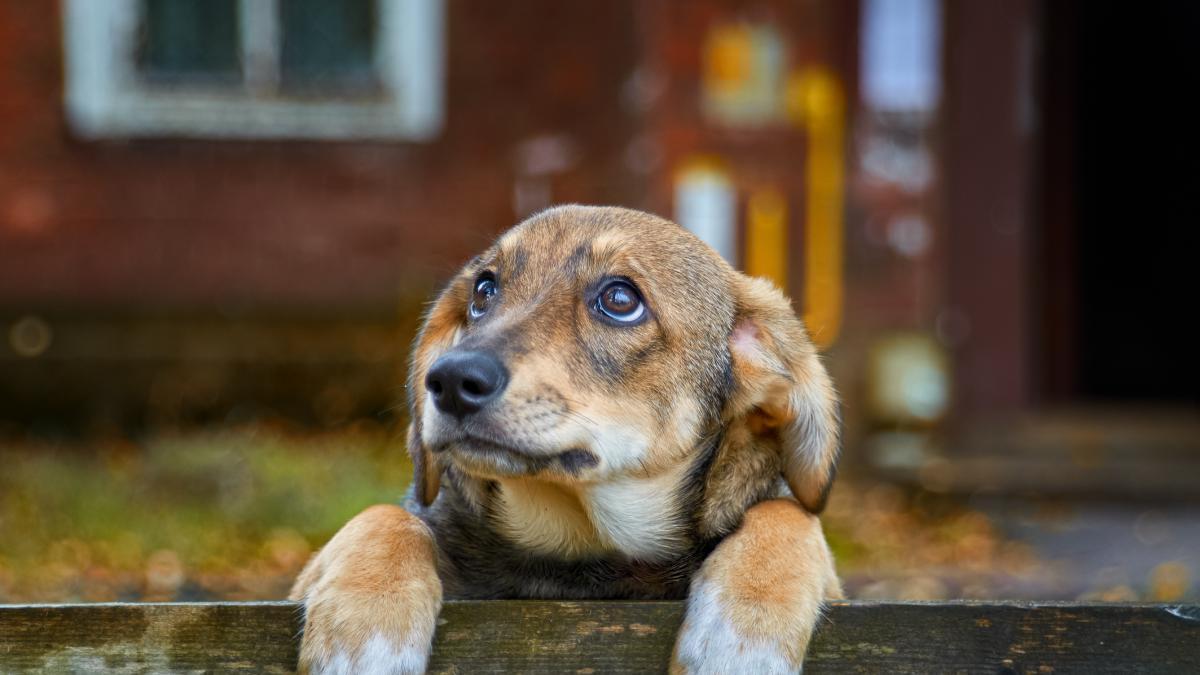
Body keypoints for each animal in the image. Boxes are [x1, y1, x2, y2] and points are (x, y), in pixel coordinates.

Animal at [288, 205, 844, 672]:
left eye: (620, 299)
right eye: (484, 290)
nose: (448, 379)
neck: (577, 551)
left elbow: (789, 513)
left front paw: (741, 638)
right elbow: (385, 515)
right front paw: (363, 631)